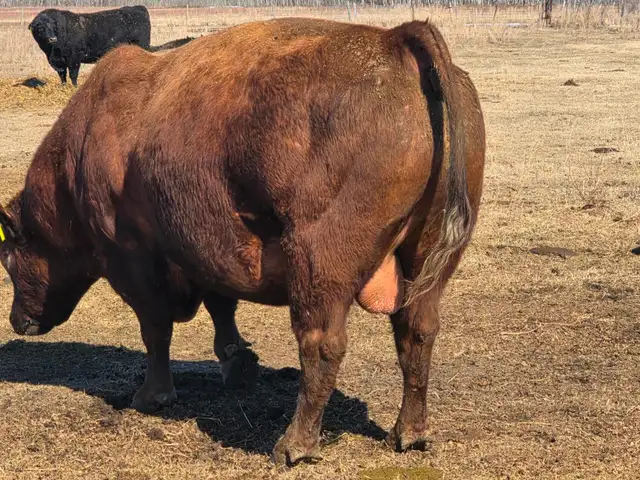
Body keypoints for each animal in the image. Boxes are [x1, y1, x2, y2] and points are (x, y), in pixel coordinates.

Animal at [0, 17, 486, 465]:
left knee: (322, 344)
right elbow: (222, 309)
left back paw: (295, 444)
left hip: (317, 265)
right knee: (417, 333)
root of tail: (394, 41)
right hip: (425, 267)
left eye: (8, 261)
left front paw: (152, 396)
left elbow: (155, 330)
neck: (87, 140)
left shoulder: (132, 260)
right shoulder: (208, 250)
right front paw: (237, 363)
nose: (17, 321)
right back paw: (410, 433)